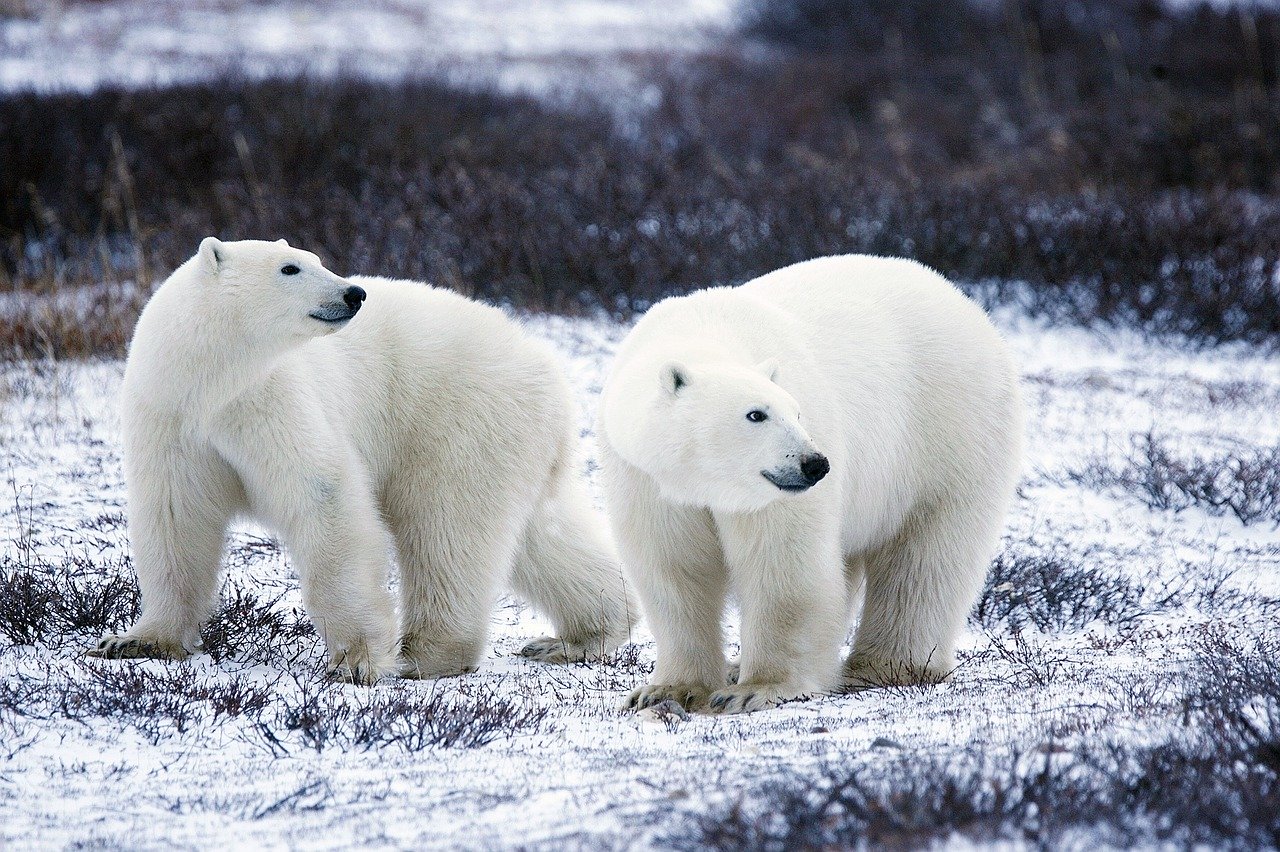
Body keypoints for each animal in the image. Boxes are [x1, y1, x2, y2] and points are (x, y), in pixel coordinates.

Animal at [90, 238, 636, 683]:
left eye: (316, 259)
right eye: (290, 267)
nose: (354, 293)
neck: (211, 381)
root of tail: (548, 367)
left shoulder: (270, 399)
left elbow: (324, 496)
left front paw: (356, 660)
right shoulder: (171, 416)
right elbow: (175, 517)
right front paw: (135, 640)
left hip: (459, 418)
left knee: (446, 526)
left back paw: (426, 654)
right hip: (513, 439)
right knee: (540, 534)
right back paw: (581, 635)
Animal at [598, 254, 1023, 714]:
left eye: (796, 412)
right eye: (756, 414)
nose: (815, 464)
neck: (703, 331)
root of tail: (965, 303)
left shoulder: (773, 494)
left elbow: (784, 566)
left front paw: (755, 688)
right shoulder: (646, 478)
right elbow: (674, 568)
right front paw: (666, 690)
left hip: (947, 432)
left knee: (926, 556)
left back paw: (883, 666)